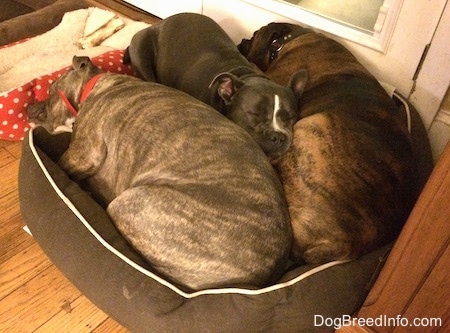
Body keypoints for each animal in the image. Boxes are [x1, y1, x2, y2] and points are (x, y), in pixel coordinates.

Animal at [29, 55, 294, 290]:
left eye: (50, 90)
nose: (30, 106)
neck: (97, 85)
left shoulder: (82, 153)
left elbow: (64, 160)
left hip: (129, 204)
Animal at [124, 13, 306, 161]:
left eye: (291, 117)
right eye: (254, 113)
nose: (278, 136)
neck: (242, 74)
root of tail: (157, 24)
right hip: (141, 54)